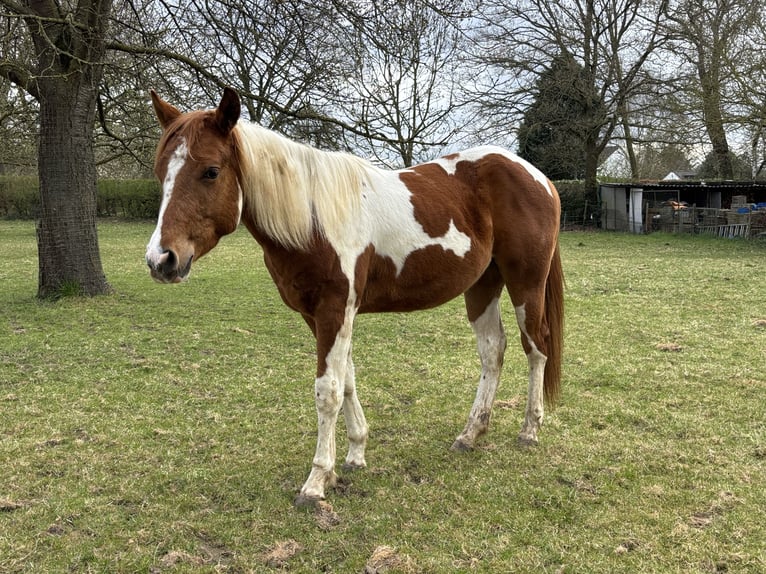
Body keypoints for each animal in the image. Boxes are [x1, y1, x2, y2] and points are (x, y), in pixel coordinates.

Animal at [146, 88, 564, 506]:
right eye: (160, 172)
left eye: (211, 171)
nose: (161, 259)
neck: (313, 220)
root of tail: (539, 178)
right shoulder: (319, 316)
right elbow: (346, 380)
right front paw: (354, 454)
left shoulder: (335, 310)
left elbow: (327, 391)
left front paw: (316, 481)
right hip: (481, 286)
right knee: (493, 350)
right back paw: (470, 434)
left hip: (526, 284)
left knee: (536, 348)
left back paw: (529, 429)